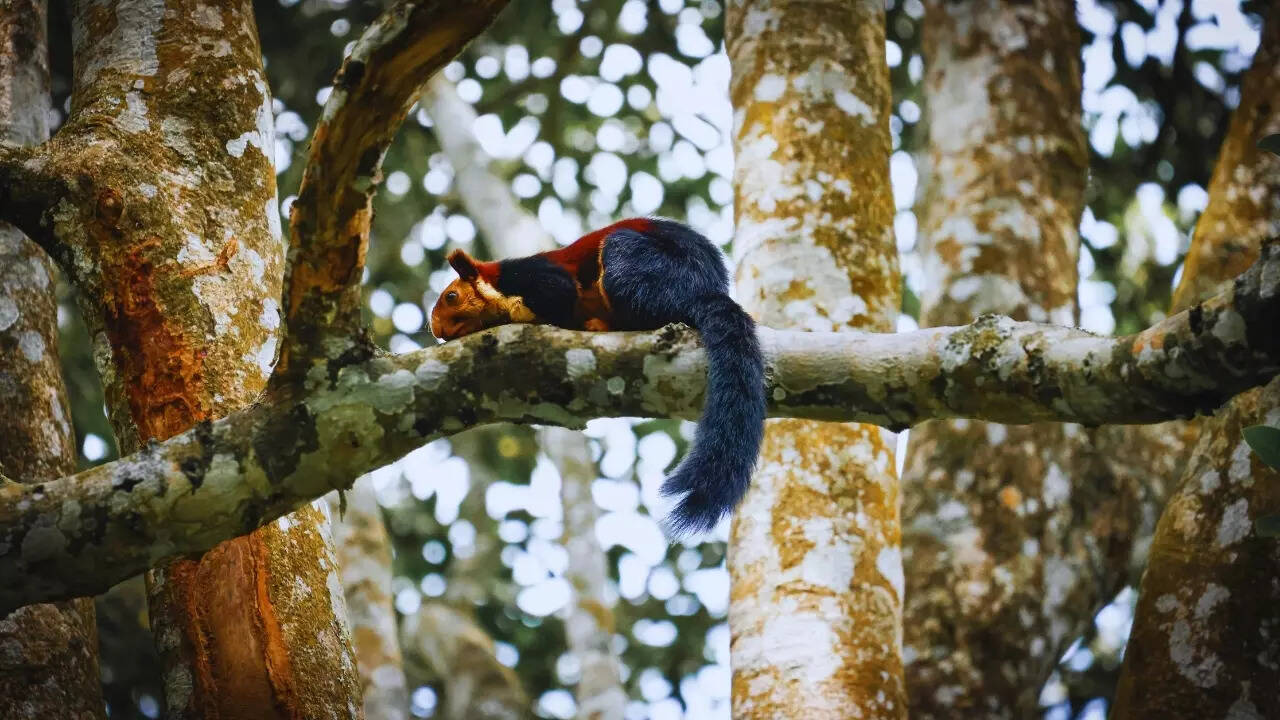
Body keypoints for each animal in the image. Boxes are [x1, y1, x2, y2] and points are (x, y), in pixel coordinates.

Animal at [430, 217, 766, 535]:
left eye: (451, 296)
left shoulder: (534, 276)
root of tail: (705, 289)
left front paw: (516, 310)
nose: (436, 329)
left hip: (645, 268)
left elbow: (560, 293)